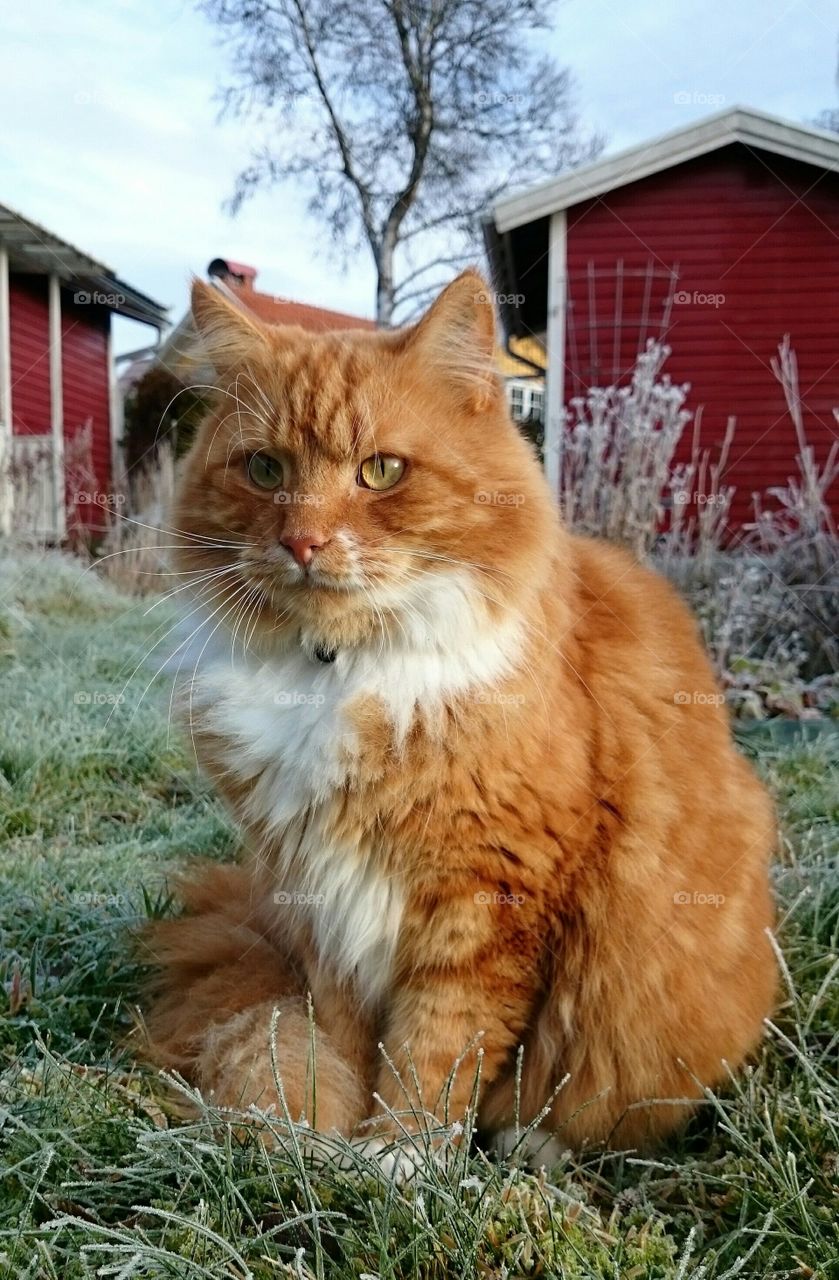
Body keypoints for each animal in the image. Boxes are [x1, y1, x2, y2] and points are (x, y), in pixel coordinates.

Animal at [140, 275, 778, 1167]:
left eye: (380, 471)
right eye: (265, 469)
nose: (302, 542)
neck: (341, 673)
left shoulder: (491, 900)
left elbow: (440, 1047)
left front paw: (398, 1157)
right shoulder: (316, 896)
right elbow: (343, 1038)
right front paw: (328, 1142)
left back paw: (529, 1149)